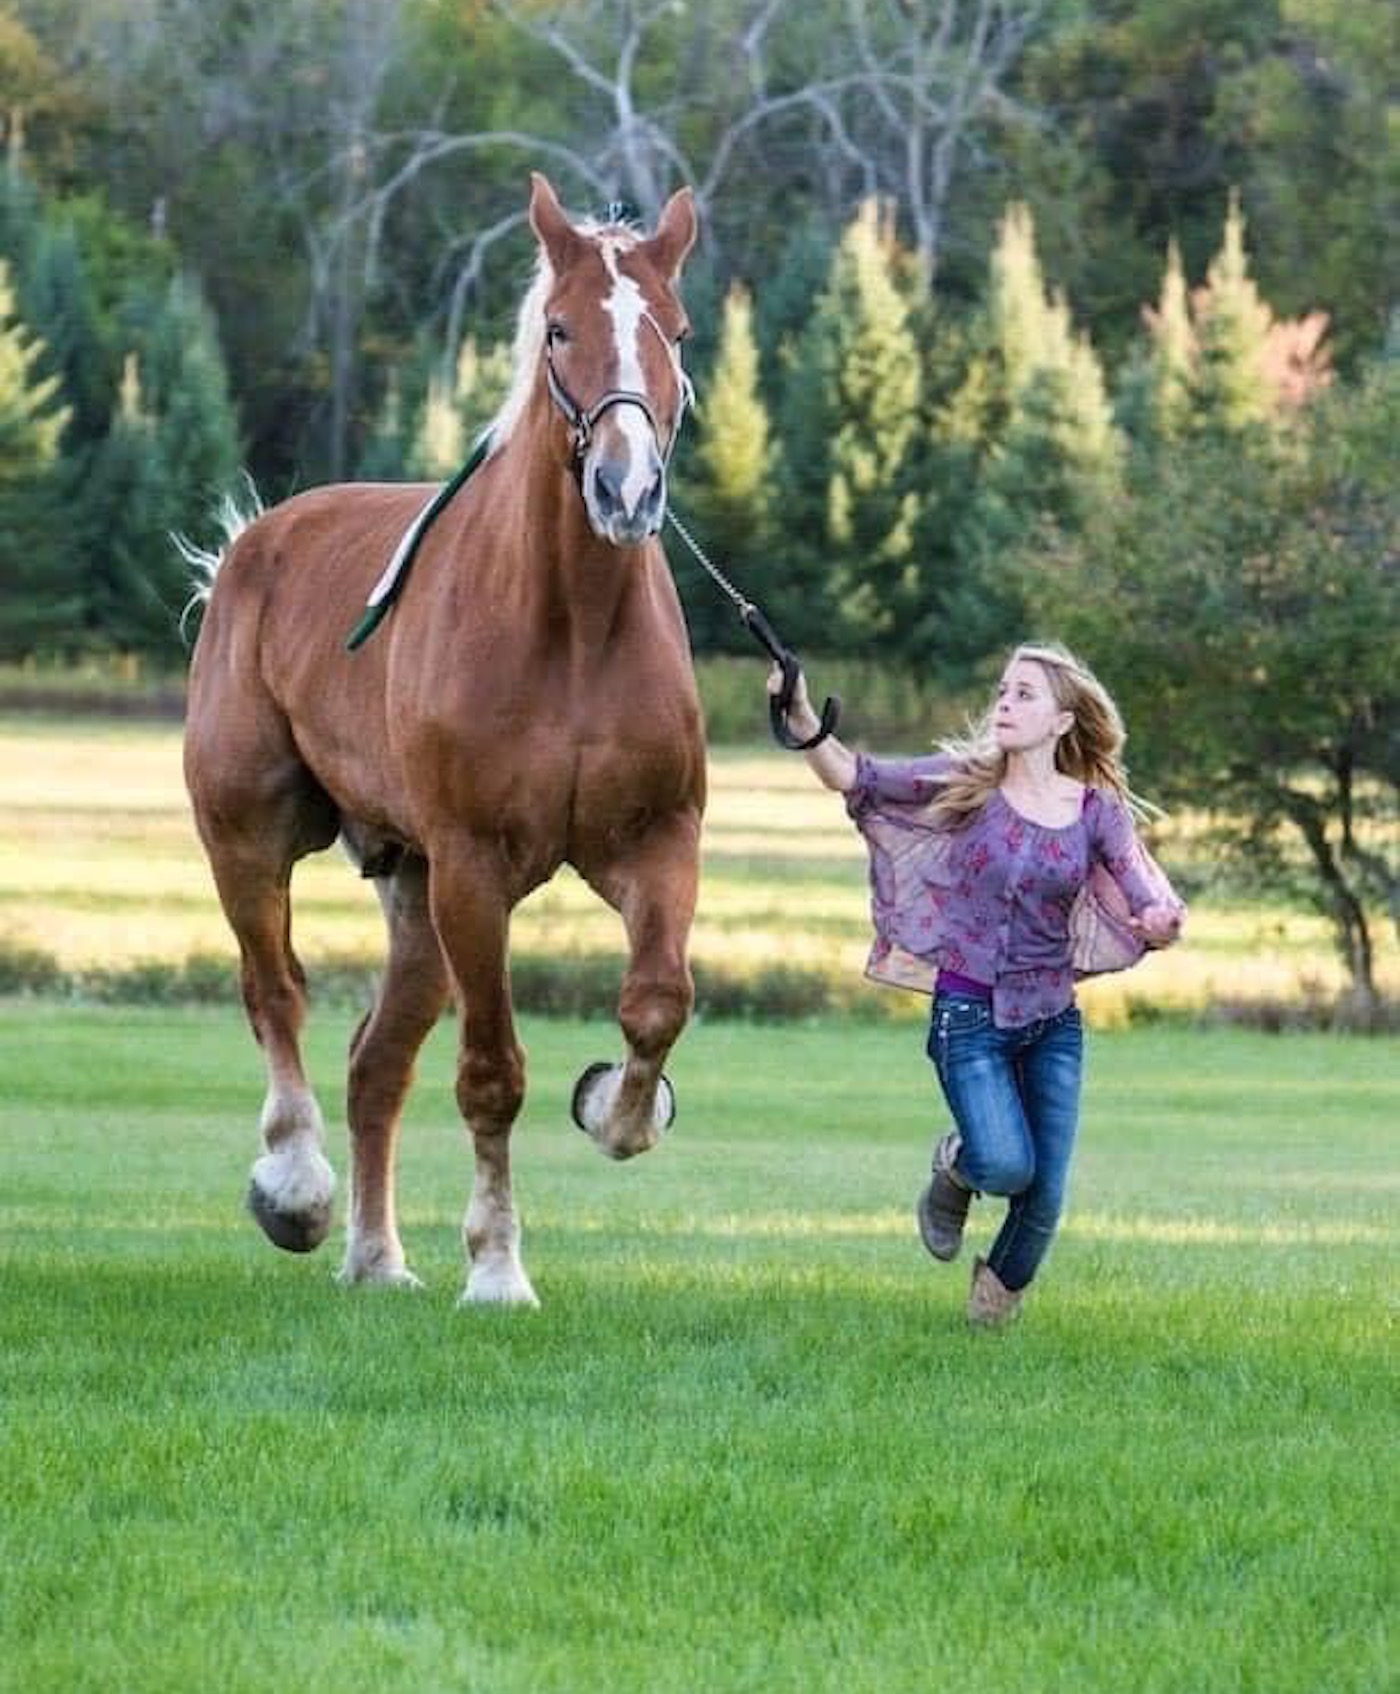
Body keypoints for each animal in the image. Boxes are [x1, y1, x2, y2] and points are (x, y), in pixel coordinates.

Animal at [184, 174, 704, 1306]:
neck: (570, 627)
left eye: (676, 332)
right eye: (559, 329)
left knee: (375, 1062)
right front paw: (498, 1267)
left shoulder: (655, 844)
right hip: (253, 834)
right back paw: (295, 1187)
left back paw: (377, 1256)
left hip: (413, 890)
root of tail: (253, 541)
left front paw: (618, 1109)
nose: (626, 489)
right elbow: (491, 1075)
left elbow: (656, 1003)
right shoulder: (475, 869)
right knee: (274, 991)